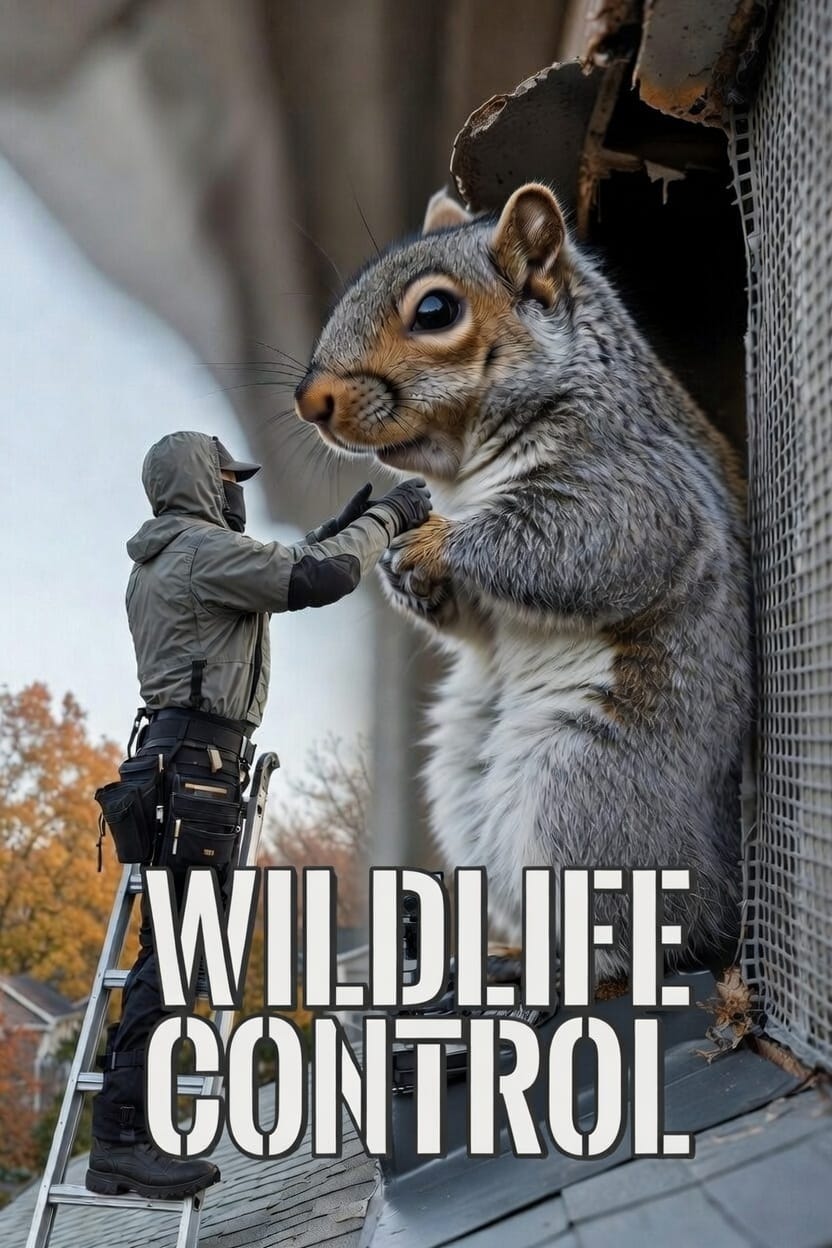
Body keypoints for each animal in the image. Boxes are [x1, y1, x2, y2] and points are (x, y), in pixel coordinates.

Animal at [295, 182, 752, 980]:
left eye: (435, 311)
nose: (309, 399)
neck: (465, 471)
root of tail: (723, 897)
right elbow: (474, 624)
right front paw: (401, 570)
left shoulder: (640, 488)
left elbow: (586, 546)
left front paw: (438, 543)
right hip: (465, 792)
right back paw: (509, 954)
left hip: (584, 792)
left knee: (636, 934)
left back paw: (567, 970)